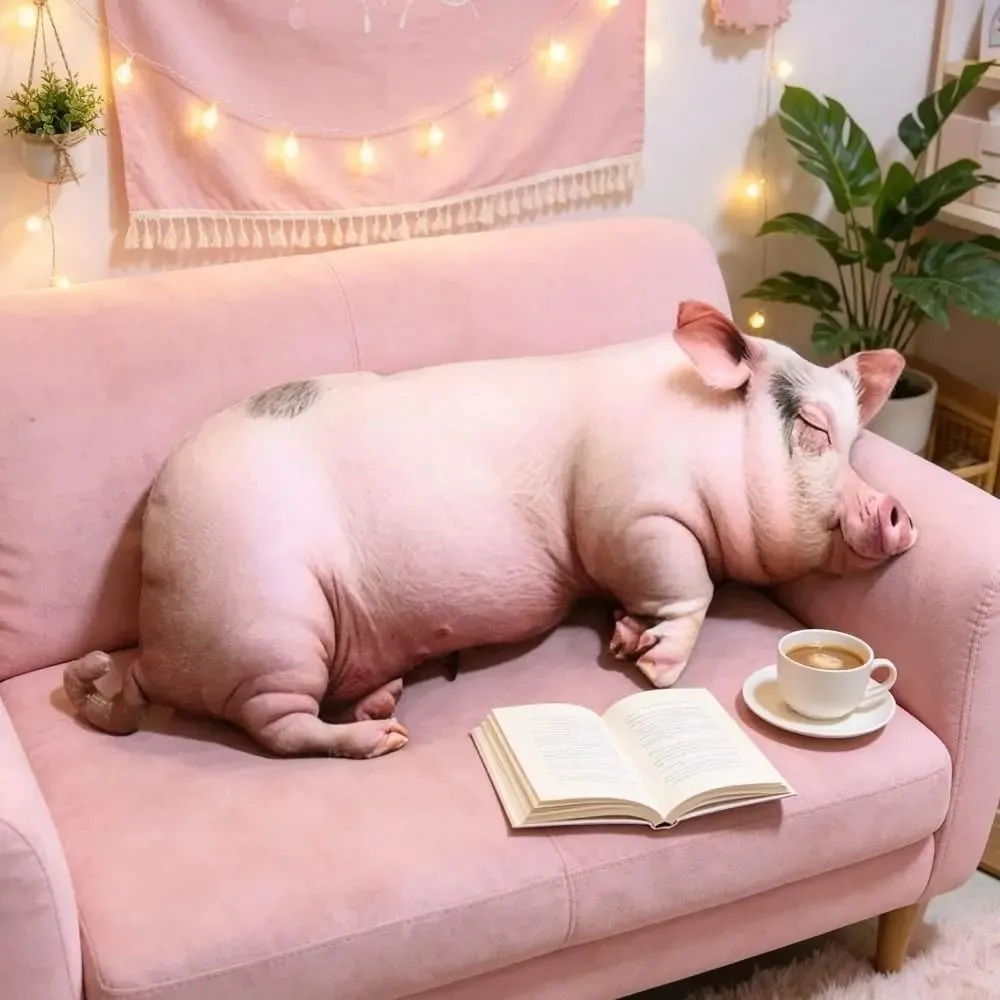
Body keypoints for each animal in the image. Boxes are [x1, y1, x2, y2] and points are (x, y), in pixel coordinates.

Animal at [63, 300, 916, 759]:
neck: (705, 439)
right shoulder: (633, 513)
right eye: (812, 427)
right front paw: (654, 666)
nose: (896, 511)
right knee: (279, 727)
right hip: (269, 623)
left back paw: (381, 700)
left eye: (854, 438)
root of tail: (154, 650)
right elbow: (688, 583)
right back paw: (383, 741)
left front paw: (622, 638)